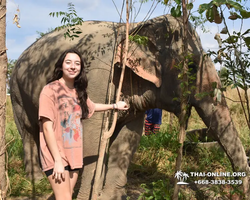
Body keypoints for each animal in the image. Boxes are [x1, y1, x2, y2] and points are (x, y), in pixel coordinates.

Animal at [10, 14, 250, 199]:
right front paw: (89, 196)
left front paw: (111, 196)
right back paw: (38, 179)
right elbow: (92, 137)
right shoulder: (99, 76)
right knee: (29, 131)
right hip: (16, 92)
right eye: (191, 67)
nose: (240, 194)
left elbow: (128, 137)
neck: (137, 26)